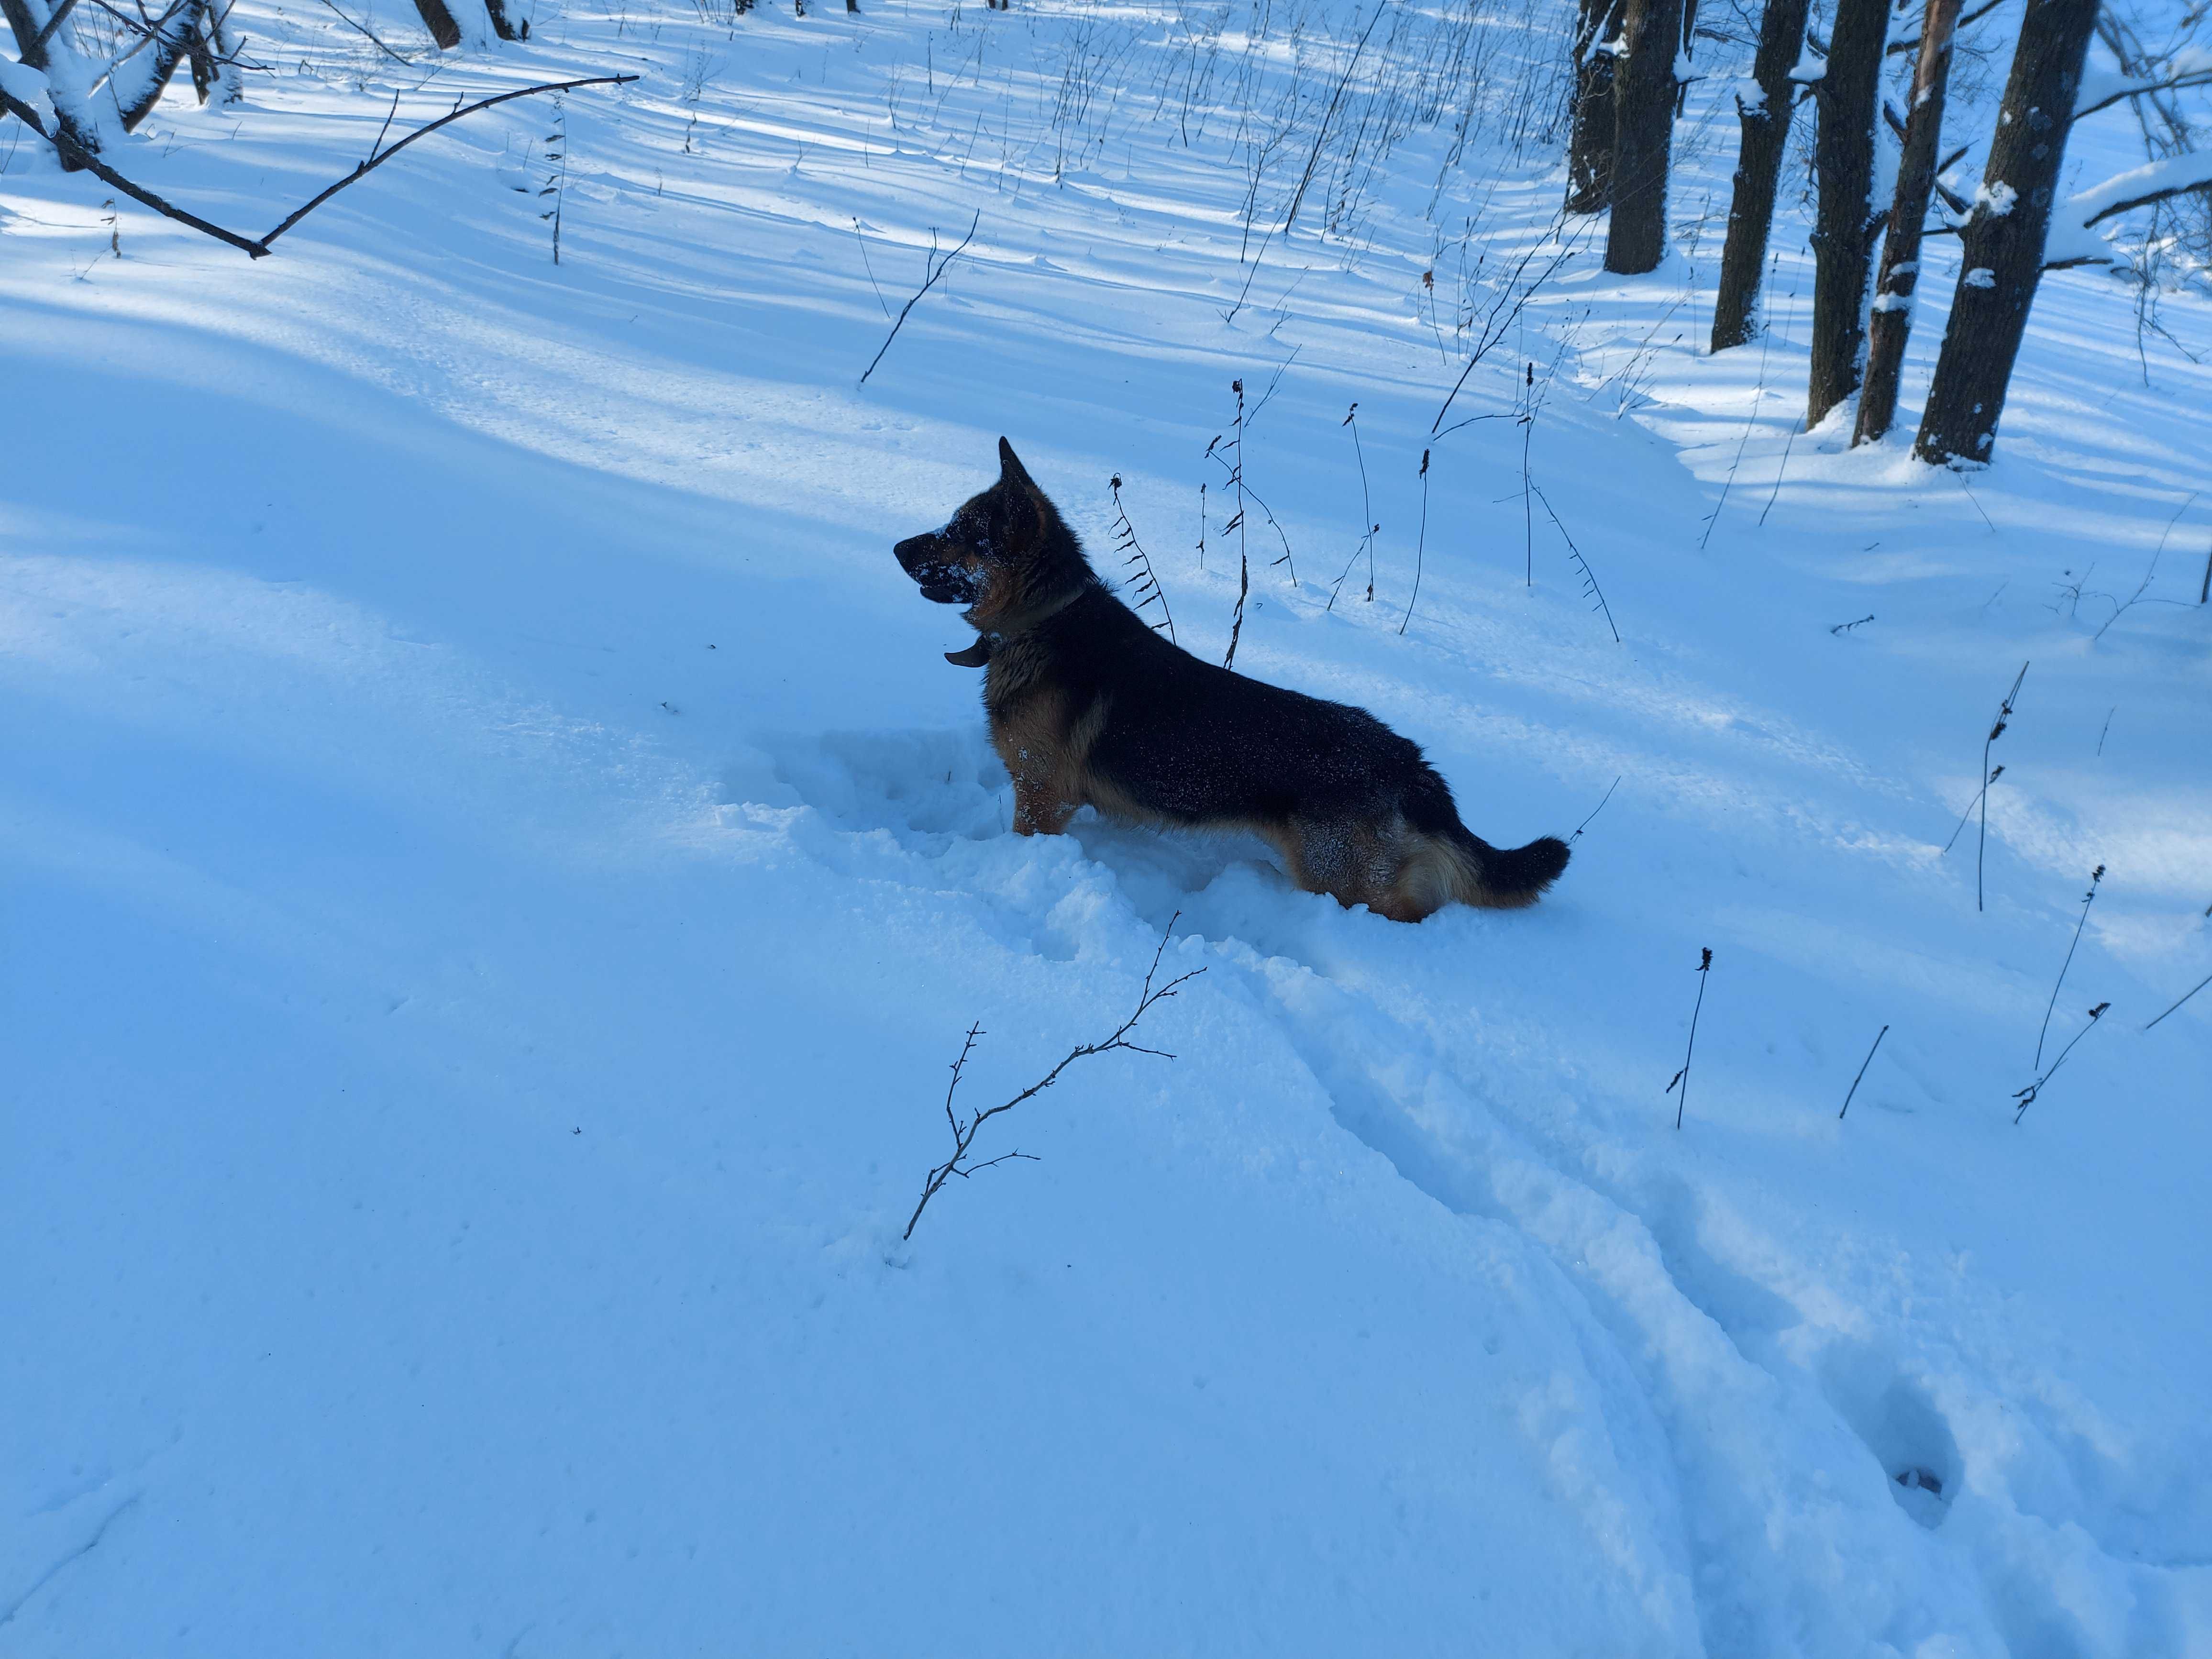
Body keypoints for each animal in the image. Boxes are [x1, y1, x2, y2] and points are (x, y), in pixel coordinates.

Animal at [889, 442, 1566, 924]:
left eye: (958, 533)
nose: (895, 547)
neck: (1044, 617)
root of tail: (1409, 763)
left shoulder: (1040, 799)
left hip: (1343, 884)